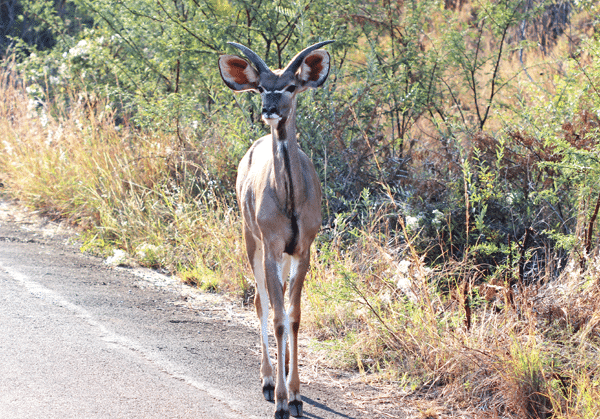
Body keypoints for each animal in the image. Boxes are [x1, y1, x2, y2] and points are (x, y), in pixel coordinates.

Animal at [219, 40, 332, 419]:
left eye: (291, 86)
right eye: (262, 87)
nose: (268, 109)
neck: (291, 201)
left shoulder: (302, 249)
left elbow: (294, 316)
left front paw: (297, 394)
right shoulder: (270, 245)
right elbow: (278, 314)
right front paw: (283, 399)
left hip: (279, 255)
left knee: (276, 300)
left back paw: (280, 371)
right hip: (249, 238)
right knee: (262, 302)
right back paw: (269, 379)